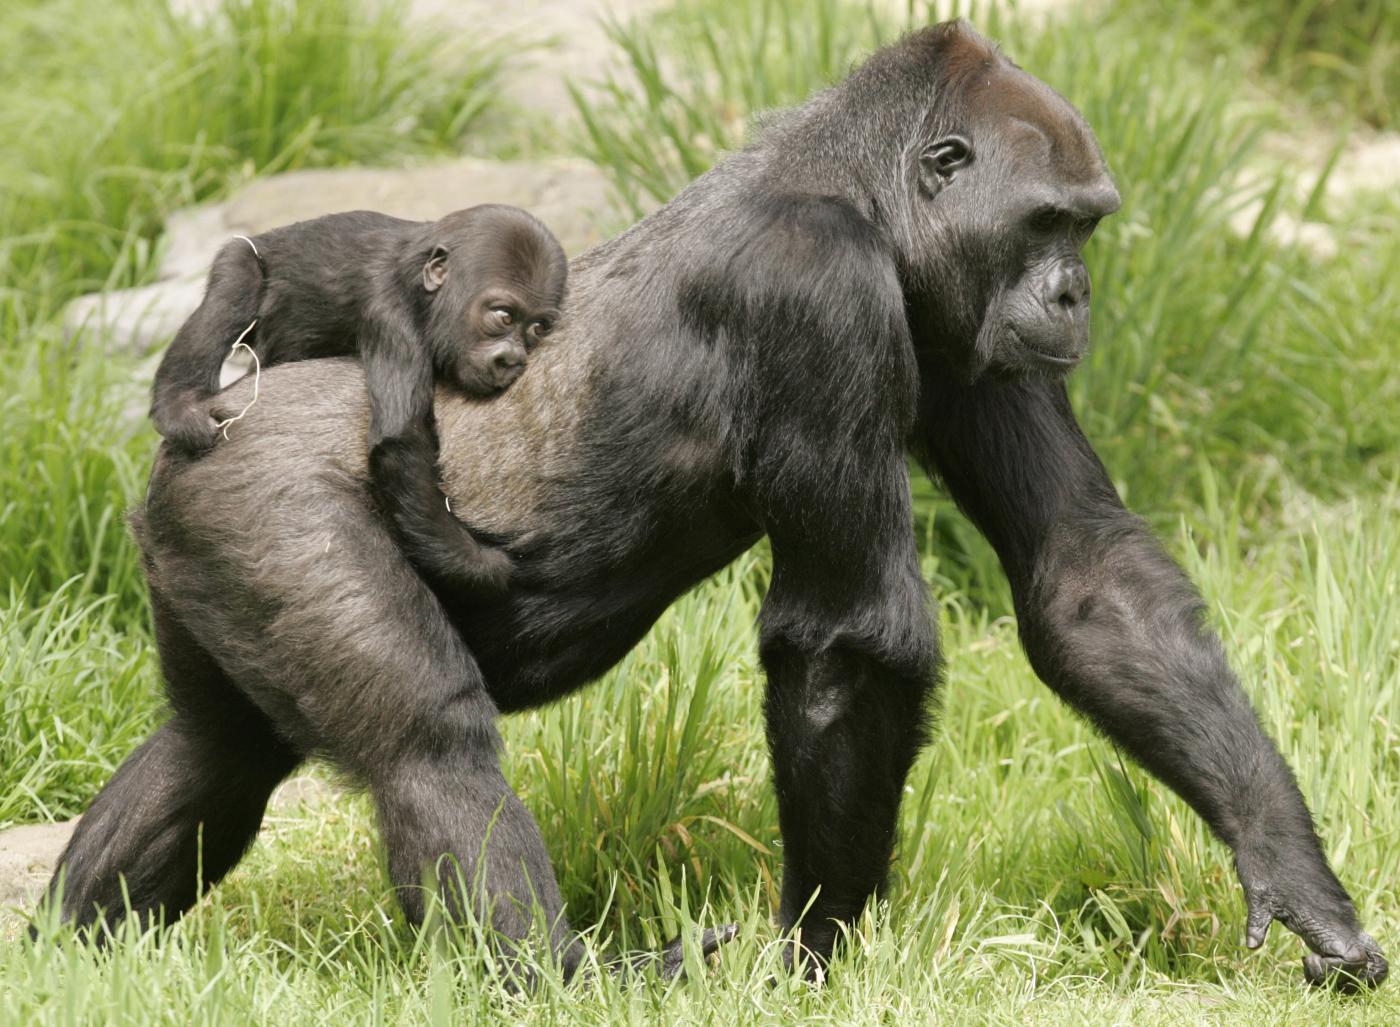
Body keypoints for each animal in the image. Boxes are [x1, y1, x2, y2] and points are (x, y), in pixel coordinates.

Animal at [149, 203, 567, 593]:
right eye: (503, 316)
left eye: (537, 328)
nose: (511, 360)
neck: (421, 283)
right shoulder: (394, 315)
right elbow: (401, 440)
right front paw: (476, 563)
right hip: (244, 255)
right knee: (236, 282)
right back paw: (178, 403)